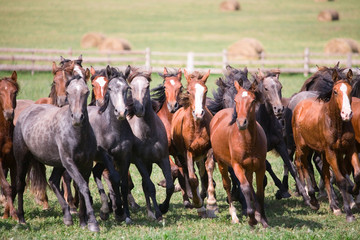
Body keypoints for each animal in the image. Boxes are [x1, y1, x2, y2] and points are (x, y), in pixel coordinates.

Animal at [13, 74, 100, 231]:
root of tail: (25, 113)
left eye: (86, 92)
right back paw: (21, 219)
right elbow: (83, 187)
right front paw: (93, 223)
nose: (77, 118)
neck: (77, 134)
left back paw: (67, 217)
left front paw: (83, 221)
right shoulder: (69, 163)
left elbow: (81, 188)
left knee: (53, 181)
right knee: (20, 184)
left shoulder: (86, 164)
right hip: (22, 159)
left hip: (58, 163)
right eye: (68, 93)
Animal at [126, 66, 174, 220]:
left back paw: (149, 212)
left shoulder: (162, 159)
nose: (139, 109)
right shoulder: (139, 161)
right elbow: (150, 187)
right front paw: (159, 214)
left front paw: (162, 208)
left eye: (147, 86)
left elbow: (169, 186)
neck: (148, 134)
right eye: (131, 87)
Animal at [171, 68, 218, 217]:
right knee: (187, 172)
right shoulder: (188, 152)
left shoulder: (209, 149)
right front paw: (199, 205)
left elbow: (209, 169)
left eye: (206, 91)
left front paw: (212, 203)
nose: (198, 113)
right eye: (189, 91)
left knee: (202, 172)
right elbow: (192, 178)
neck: (197, 126)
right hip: (180, 156)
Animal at [208, 80, 268, 227]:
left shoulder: (260, 166)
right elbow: (245, 187)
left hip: (249, 168)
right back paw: (234, 216)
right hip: (222, 164)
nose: (241, 122)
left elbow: (259, 191)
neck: (248, 142)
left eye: (253, 101)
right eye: (236, 100)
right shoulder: (237, 166)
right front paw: (251, 218)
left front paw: (263, 219)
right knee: (227, 185)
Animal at [292, 68, 360, 222]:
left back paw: (333, 206)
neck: (337, 125)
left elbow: (356, 175)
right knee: (301, 163)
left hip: (322, 152)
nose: (347, 114)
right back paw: (311, 198)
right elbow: (341, 180)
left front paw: (352, 192)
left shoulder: (350, 149)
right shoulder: (331, 152)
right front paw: (349, 214)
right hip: (303, 147)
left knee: (324, 173)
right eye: (335, 91)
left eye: (350, 91)